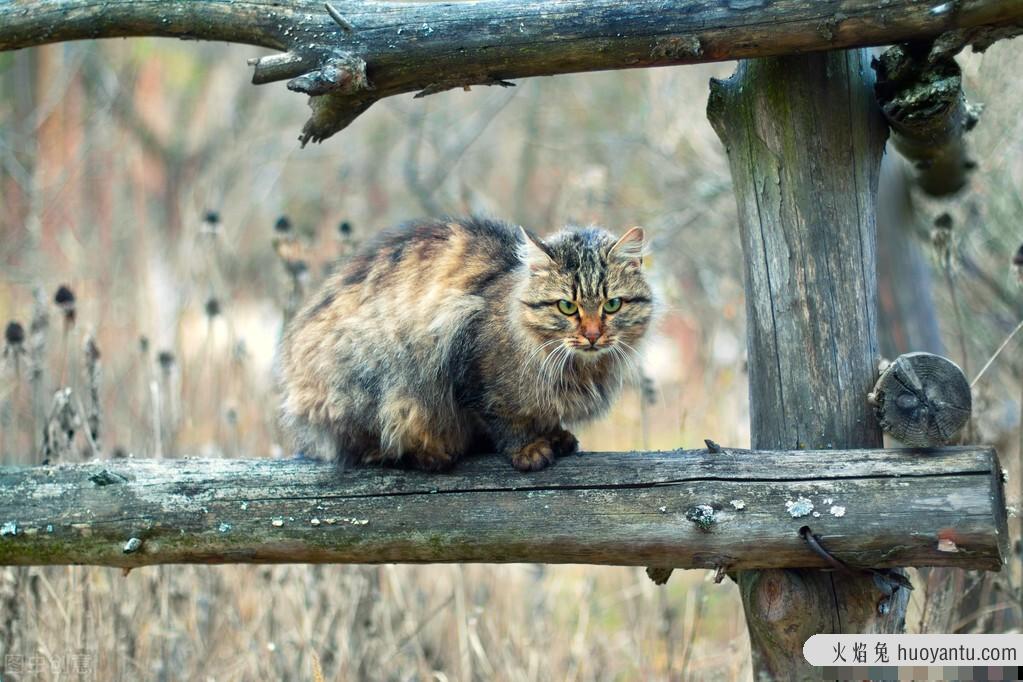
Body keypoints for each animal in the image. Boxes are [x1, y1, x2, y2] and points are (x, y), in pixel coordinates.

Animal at [276, 215, 650, 472]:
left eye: (612, 305)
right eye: (567, 307)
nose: (593, 334)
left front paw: (556, 435)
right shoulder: (470, 364)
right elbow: (504, 419)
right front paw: (528, 449)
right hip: (370, 379)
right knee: (370, 449)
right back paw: (430, 455)